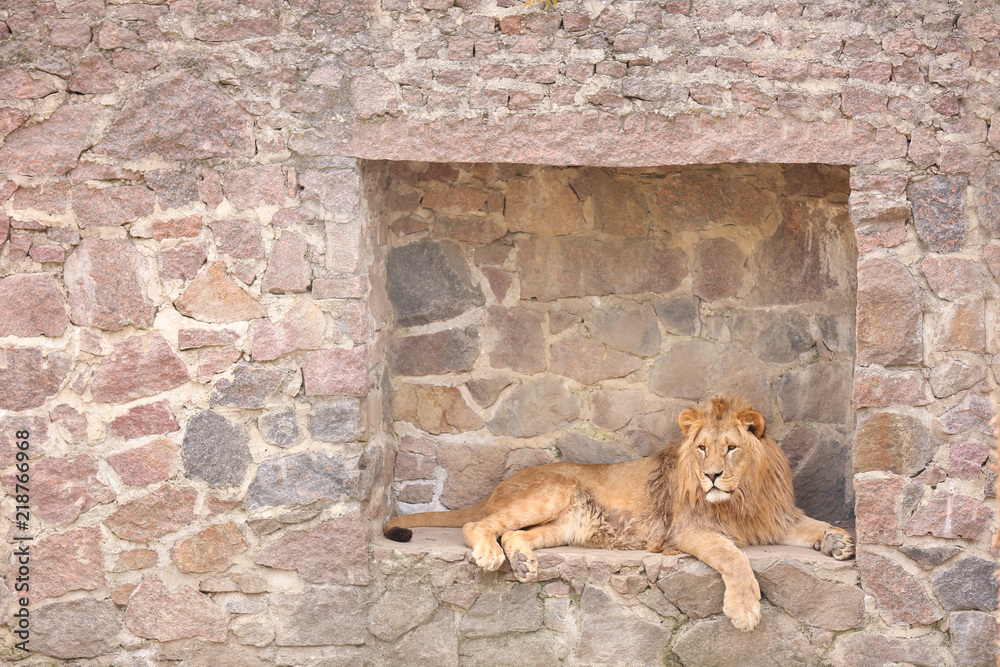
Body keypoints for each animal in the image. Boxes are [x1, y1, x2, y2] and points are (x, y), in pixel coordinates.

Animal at [386, 396, 856, 632]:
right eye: (702, 448)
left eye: (731, 447)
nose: (711, 476)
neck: (742, 496)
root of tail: (498, 486)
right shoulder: (687, 530)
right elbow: (734, 558)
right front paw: (744, 610)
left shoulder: (774, 517)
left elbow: (812, 526)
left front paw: (839, 541)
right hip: (552, 492)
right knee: (477, 524)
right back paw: (490, 554)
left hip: (565, 526)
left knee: (516, 534)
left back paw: (521, 561)